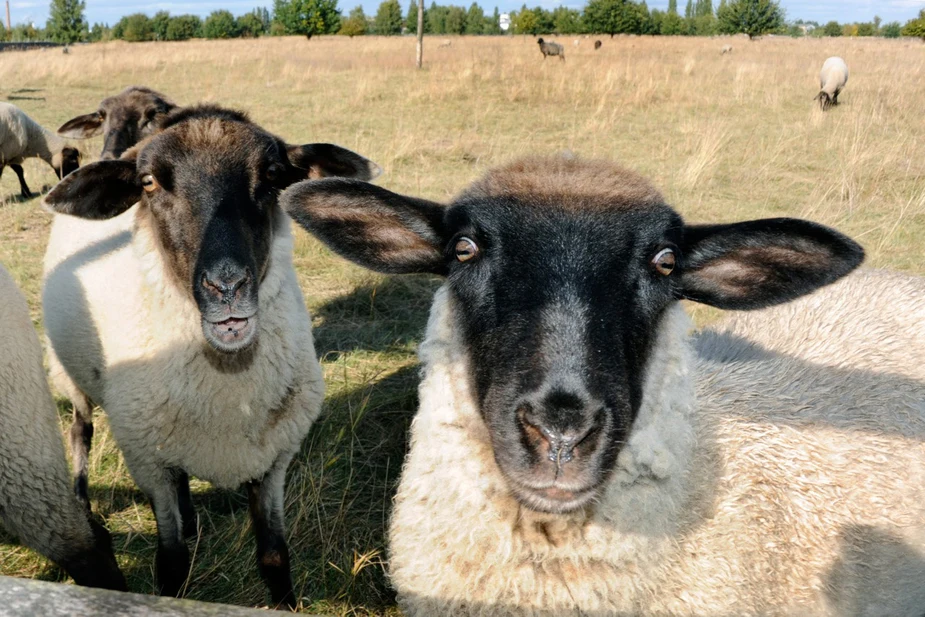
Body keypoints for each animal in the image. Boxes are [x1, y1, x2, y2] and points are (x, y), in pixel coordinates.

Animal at [41, 104, 380, 608]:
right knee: (80, 430)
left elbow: (274, 554)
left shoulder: (273, 459)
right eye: (148, 183)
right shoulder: (149, 462)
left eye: (274, 174)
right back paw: (83, 504)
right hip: (72, 375)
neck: (227, 382)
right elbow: (172, 561)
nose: (227, 287)